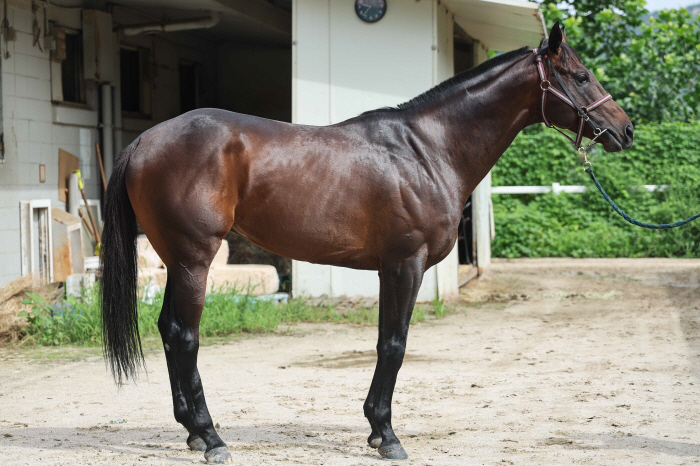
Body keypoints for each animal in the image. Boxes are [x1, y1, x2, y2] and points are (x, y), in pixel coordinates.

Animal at [100, 23, 636, 464]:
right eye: (581, 76)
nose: (625, 130)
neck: (427, 150)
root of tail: (145, 141)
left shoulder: (387, 269)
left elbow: (384, 342)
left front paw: (377, 430)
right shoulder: (406, 264)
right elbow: (394, 345)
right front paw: (388, 436)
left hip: (176, 261)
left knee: (167, 330)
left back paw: (192, 432)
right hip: (195, 259)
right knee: (185, 336)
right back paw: (211, 437)